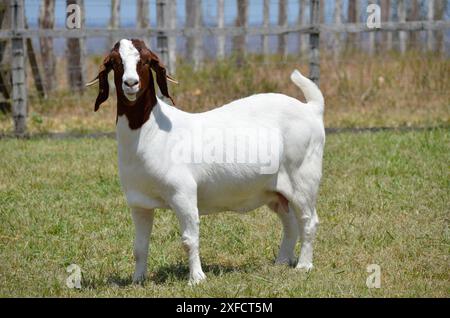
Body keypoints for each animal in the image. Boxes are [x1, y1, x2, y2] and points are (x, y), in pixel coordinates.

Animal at [89, 38, 326, 284]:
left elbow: (189, 240)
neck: (151, 132)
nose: (130, 83)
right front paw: (137, 280)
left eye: (145, 61)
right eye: (116, 63)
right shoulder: (139, 202)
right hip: (275, 191)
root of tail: (311, 109)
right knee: (290, 222)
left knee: (309, 220)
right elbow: (139, 246)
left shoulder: (183, 194)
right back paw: (281, 262)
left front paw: (196, 278)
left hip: (303, 177)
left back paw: (304, 266)